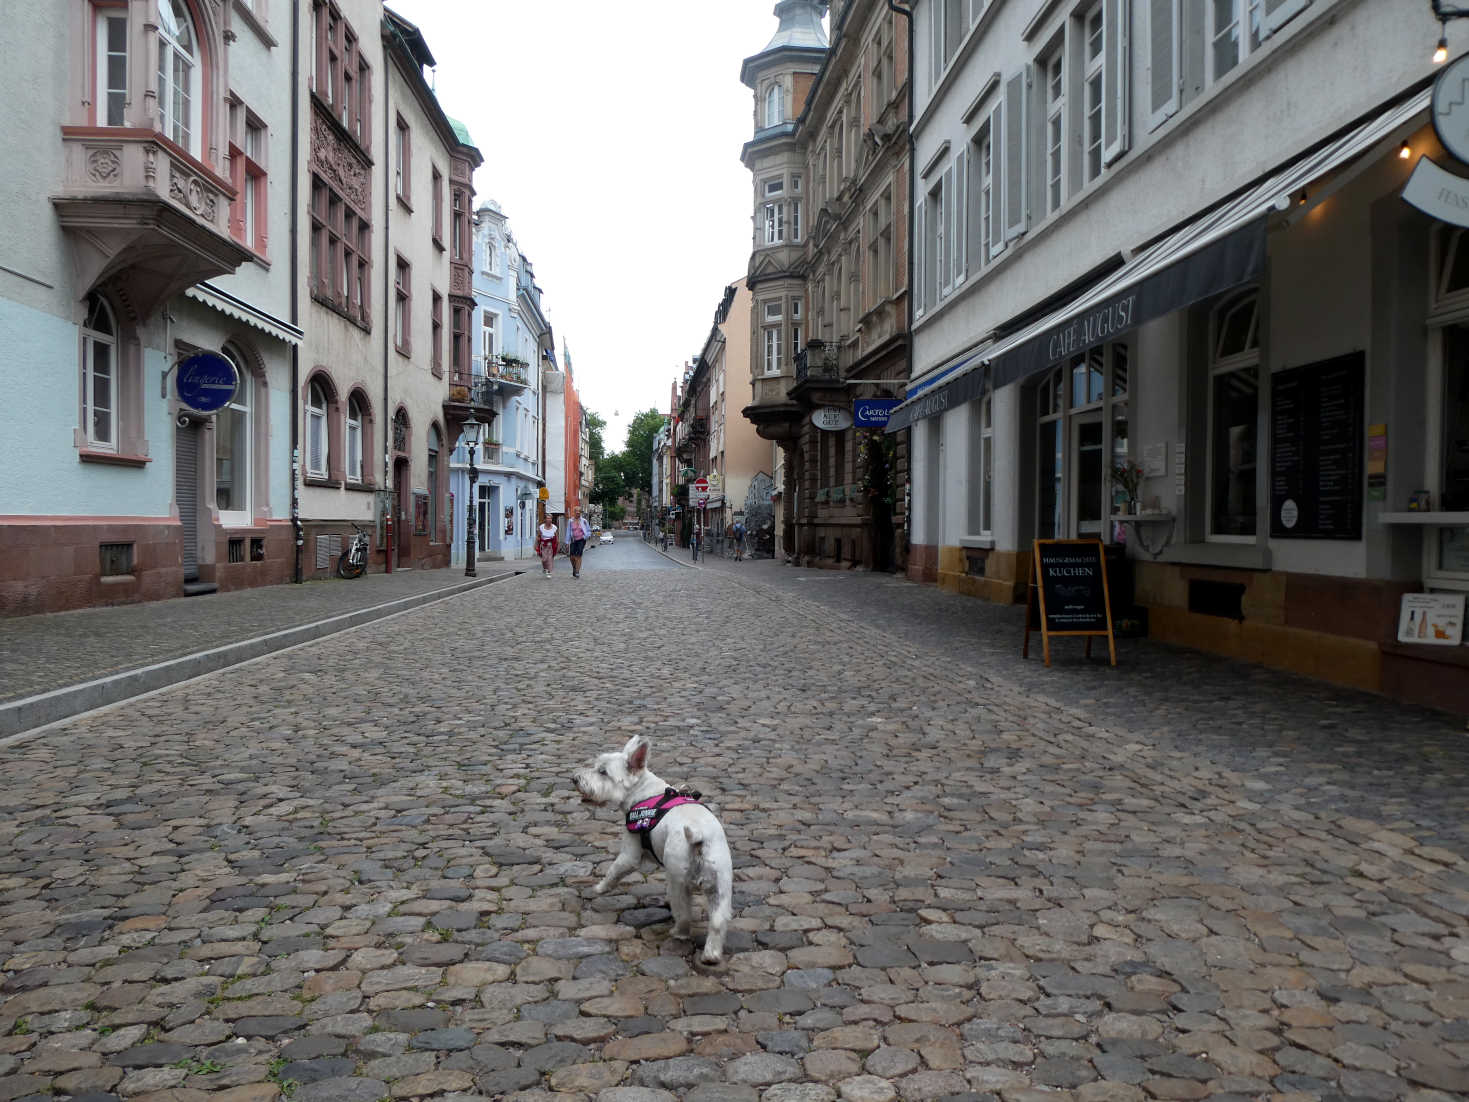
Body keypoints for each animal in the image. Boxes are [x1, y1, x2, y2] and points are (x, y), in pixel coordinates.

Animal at [572, 743, 734, 963]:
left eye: (603, 772)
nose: (574, 778)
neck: (643, 792)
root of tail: (699, 837)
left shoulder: (630, 854)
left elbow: (613, 871)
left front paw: (599, 888)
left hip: (680, 882)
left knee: (684, 914)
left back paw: (678, 933)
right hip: (721, 884)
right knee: (718, 921)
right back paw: (711, 955)